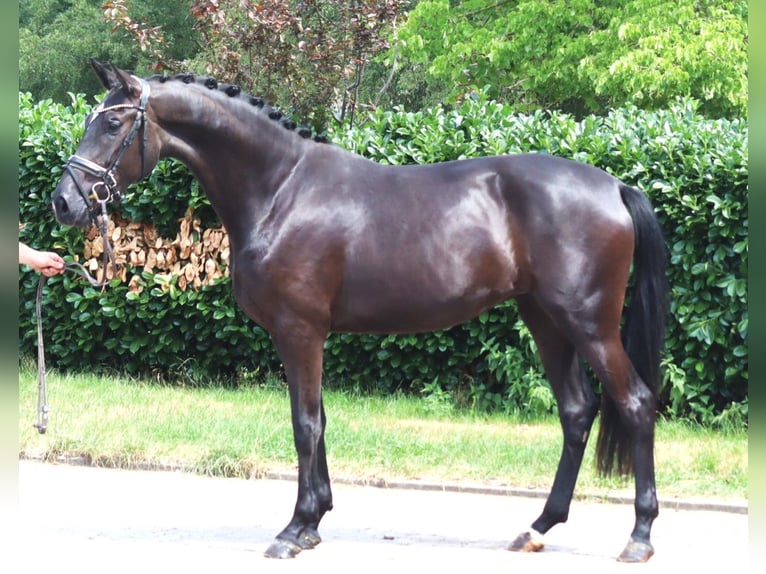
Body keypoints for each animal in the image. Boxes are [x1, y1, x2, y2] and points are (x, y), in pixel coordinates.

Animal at [51, 60, 668, 562]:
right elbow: (317, 419)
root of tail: (614, 186)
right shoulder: (308, 334)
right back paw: (538, 527)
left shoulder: (299, 330)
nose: (63, 202)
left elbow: (304, 424)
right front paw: (313, 523)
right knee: (577, 412)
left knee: (635, 404)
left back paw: (639, 537)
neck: (280, 189)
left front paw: (293, 530)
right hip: (546, 320)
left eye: (112, 124)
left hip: (587, 324)